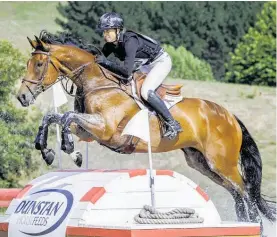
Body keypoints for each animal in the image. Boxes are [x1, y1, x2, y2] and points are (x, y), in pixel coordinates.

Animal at [16, 31, 274, 224]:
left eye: (39, 64)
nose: (21, 97)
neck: (97, 83)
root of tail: (229, 116)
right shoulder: (89, 131)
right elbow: (54, 117)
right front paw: (47, 150)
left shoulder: (106, 130)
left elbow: (67, 117)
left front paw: (70, 149)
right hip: (202, 163)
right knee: (237, 193)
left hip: (222, 162)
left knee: (246, 192)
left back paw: (255, 226)